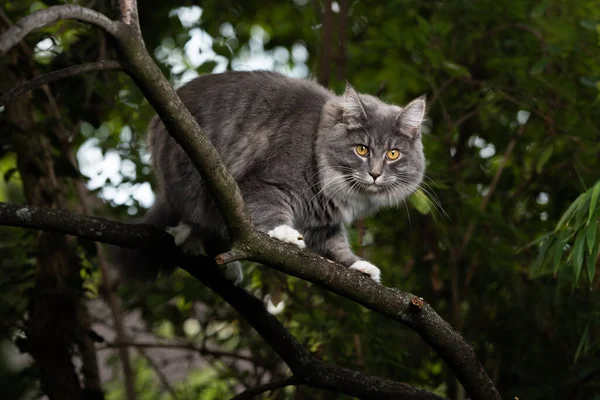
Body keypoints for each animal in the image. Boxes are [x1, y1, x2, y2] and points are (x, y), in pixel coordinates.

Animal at [116, 72, 426, 284]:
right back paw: (188, 238)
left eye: (393, 154)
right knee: (190, 217)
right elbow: (268, 212)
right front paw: (285, 234)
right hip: (188, 182)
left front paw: (360, 267)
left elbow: (337, 250)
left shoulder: (324, 223)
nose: (374, 174)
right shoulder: (265, 183)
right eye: (362, 149)